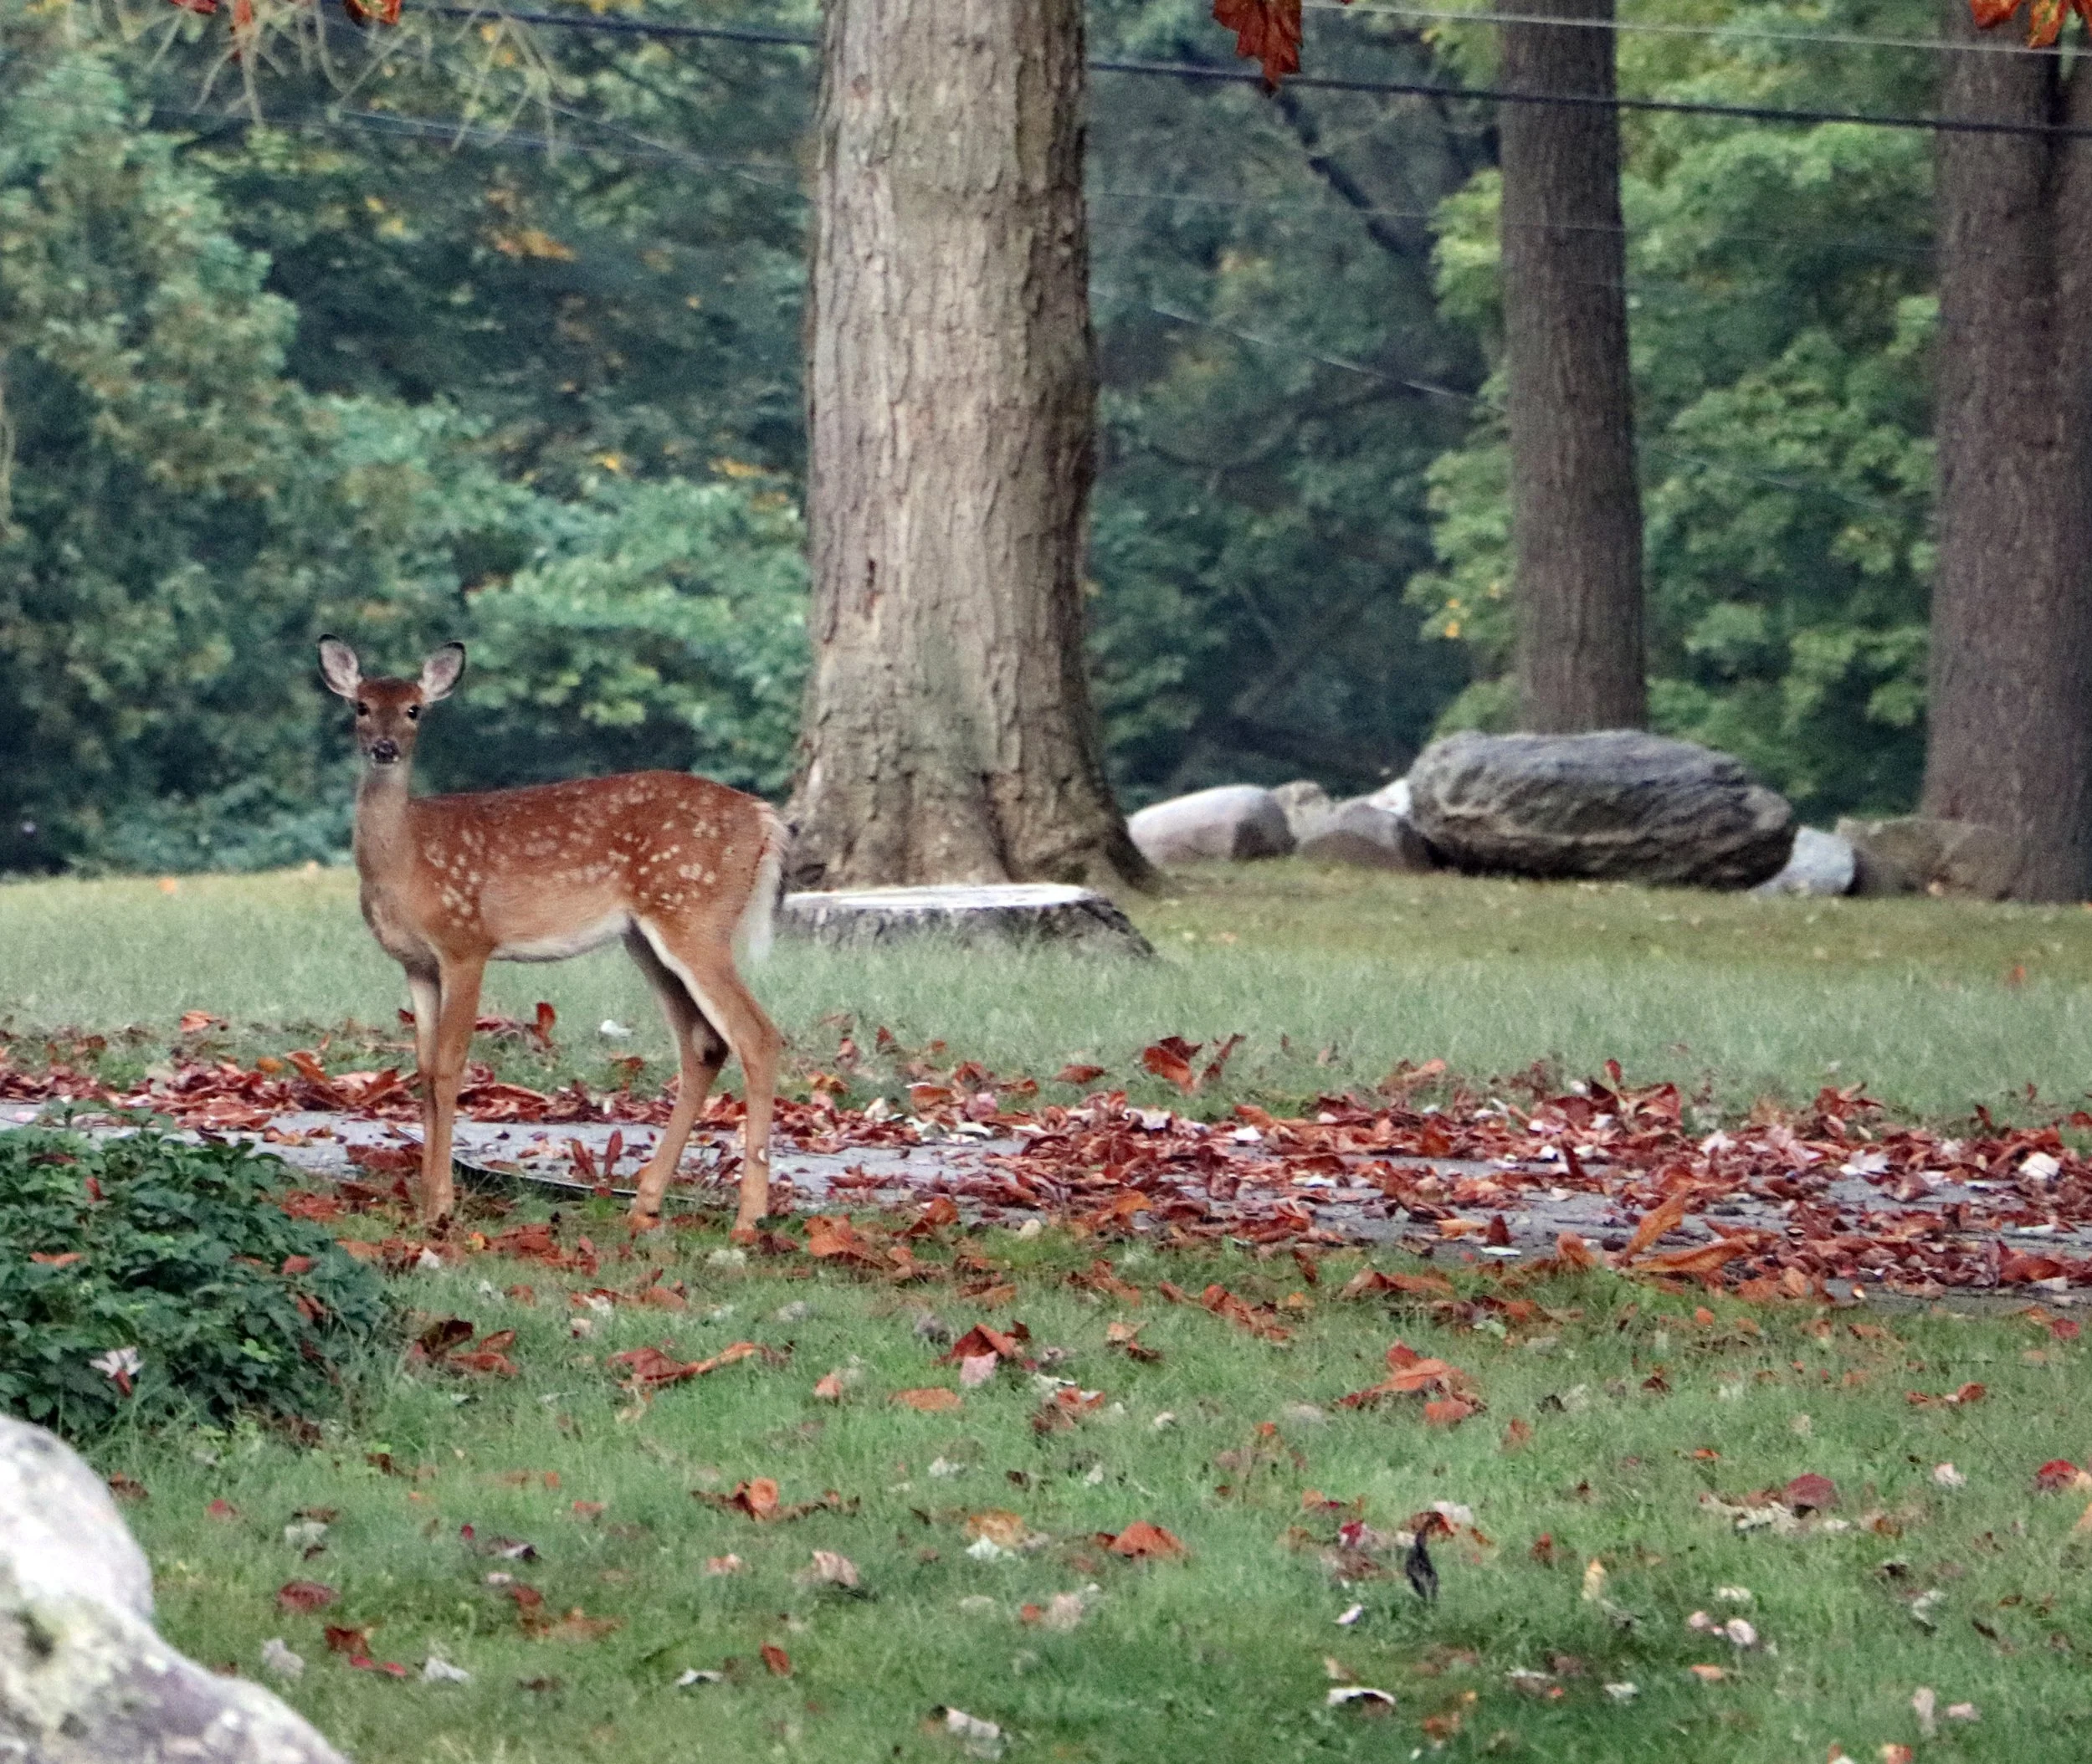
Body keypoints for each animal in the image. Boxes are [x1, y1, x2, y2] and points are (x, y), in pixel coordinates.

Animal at [316, 636, 785, 1239]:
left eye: (415, 709)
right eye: (361, 706)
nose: (384, 748)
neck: (406, 862)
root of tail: (765, 818)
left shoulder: (466, 942)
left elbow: (448, 1066)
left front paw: (441, 1206)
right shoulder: (414, 962)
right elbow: (421, 1069)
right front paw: (424, 1202)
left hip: (695, 916)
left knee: (757, 1036)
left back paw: (748, 1219)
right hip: (647, 937)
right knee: (705, 1045)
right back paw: (645, 1204)